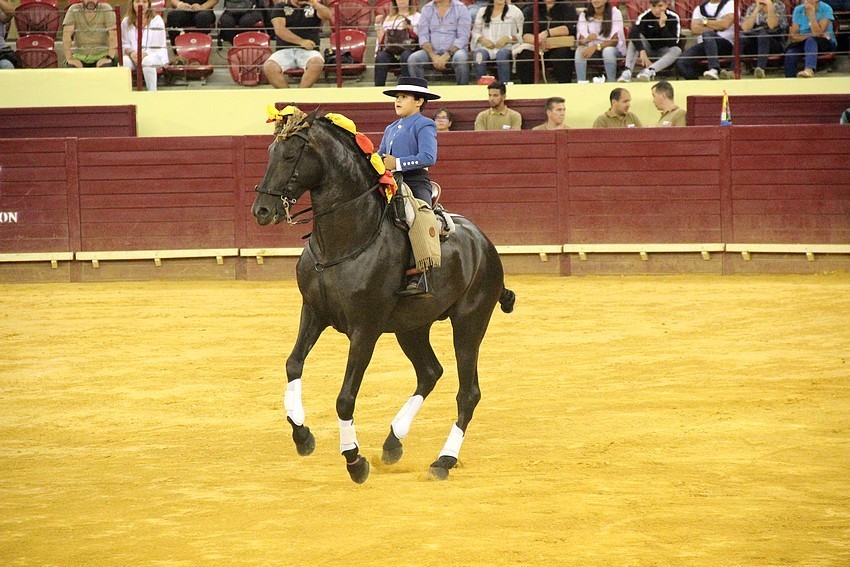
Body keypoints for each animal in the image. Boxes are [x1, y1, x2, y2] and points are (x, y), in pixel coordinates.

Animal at [251, 107, 515, 483]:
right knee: (430, 372)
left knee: (468, 393)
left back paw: (443, 461)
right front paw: (302, 435)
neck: (344, 241)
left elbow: (345, 397)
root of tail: (484, 243)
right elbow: (293, 364)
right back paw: (393, 442)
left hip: (470, 322)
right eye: (270, 152)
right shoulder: (313, 311)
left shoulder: (365, 329)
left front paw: (354, 460)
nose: (261, 211)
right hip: (412, 327)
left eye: (290, 156)